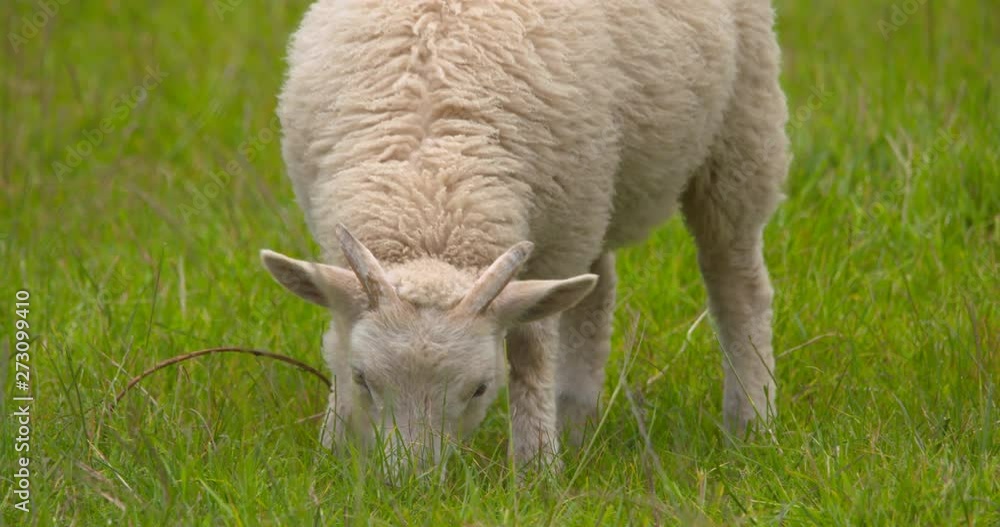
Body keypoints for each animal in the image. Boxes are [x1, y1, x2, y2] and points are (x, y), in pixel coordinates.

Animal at [260, 0, 789, 471]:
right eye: (363, 378)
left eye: (479, 388)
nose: (413, 482)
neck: (431, 201)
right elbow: (337, 336)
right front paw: (333, 450)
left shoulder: (554, 245)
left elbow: (531, 350)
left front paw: (536, 467)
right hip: (596, 196)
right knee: (595, 295)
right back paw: (576, 422)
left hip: (740, 130)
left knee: (737, 284)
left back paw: (750, 420)